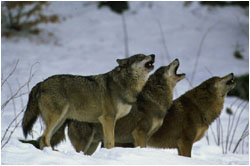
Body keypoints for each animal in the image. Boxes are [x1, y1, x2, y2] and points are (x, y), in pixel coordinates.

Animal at [21, 58, 186, 154]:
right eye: (166, 67)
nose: (177, 59)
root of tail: (41, 83)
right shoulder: (135, 132)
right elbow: (111, 142)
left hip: (73, 131)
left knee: (43, 140)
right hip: (65, 125)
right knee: (44, 138)